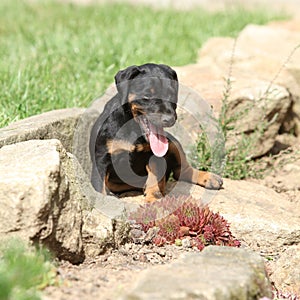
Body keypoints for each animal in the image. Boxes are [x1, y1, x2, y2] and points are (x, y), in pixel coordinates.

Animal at [89, 62, 223, 202]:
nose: (169, 120)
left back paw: (209, 177)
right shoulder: (102, 158)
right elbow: (100, 186)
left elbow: (155, 175)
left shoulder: (154, 155)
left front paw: (153, 197)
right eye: (147, 96)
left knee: (181, 170)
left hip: (172, 142)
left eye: (172, 95)